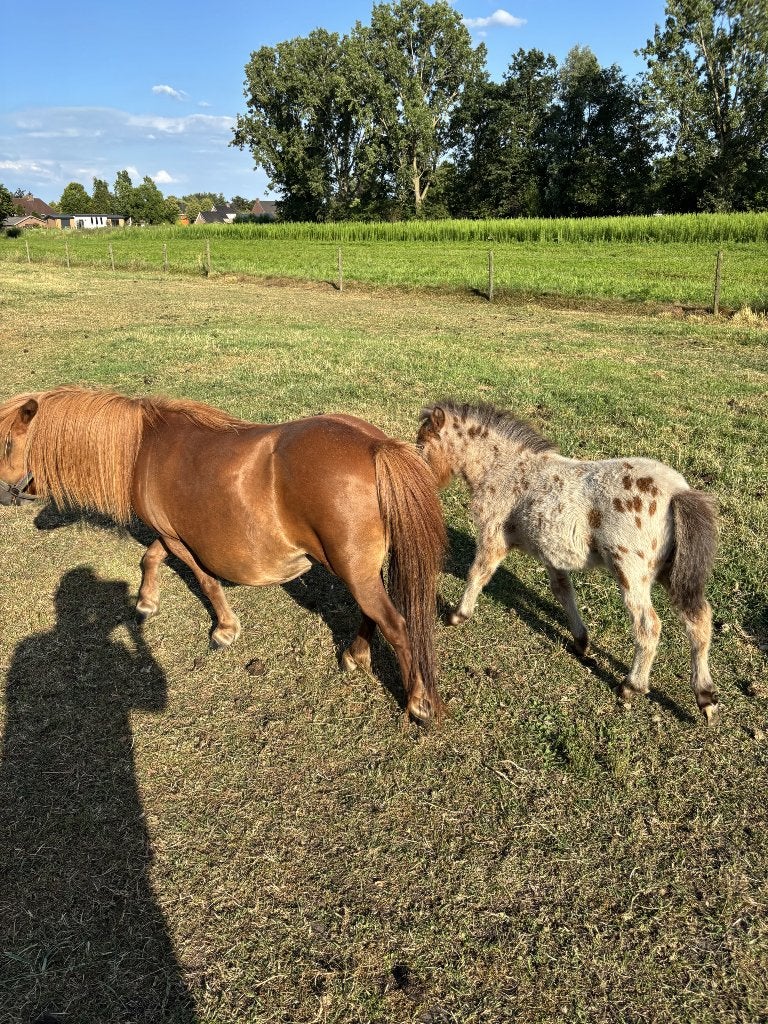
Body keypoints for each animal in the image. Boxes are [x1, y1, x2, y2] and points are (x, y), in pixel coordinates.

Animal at [0, 387, 446, 725]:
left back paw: (417, 702)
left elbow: (204, 579)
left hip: (351, 567)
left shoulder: (177, 539)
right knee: (372, 613)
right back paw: (355, 655)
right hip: (358, 568)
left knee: (395, 624)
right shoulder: (168, 534)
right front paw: (145, 601)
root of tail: (374, 445)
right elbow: (149, 558)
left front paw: (224, 628)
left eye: (7, 444)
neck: (144, 447)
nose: (6, 496)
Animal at [416, 400, 720, 724]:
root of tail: (678, 492)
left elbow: (478, 573)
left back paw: (631, 686)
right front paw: (580, 641)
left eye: (422, 444)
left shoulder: (492, 536)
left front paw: (458, 615)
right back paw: (705, 696)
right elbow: (563, 592)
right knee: (699, 620)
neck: (507, 469)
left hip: (630, 572)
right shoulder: (552, 552)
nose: (424, 485)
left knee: (649, 626)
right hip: (672, 573)